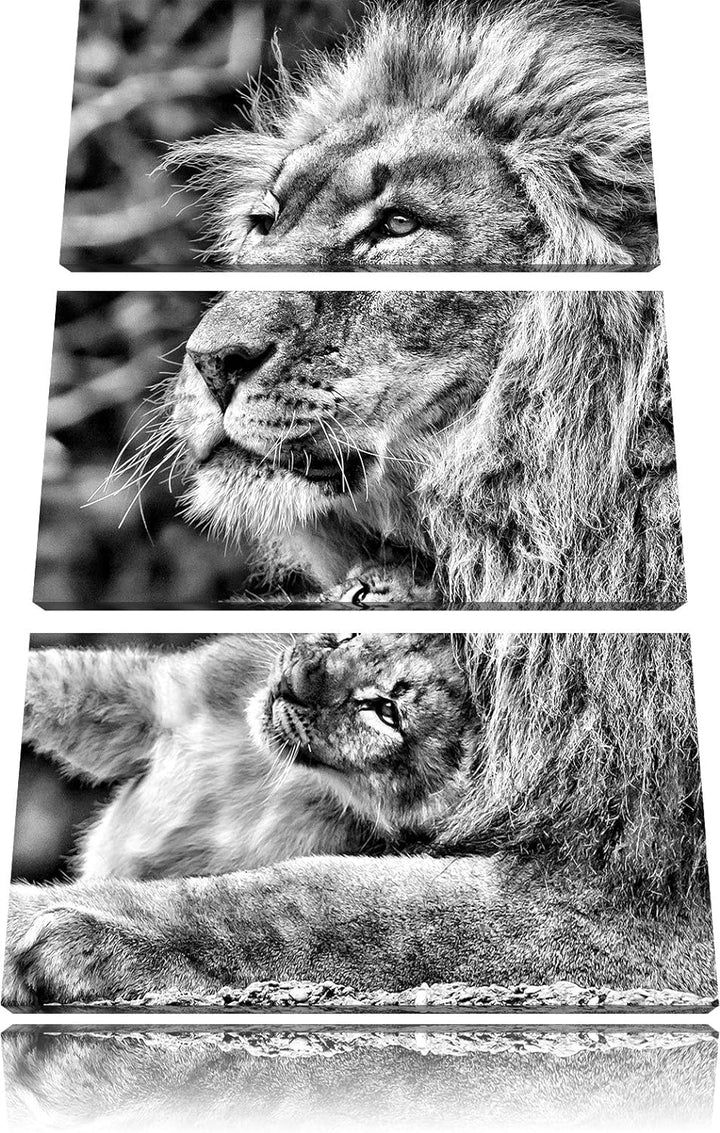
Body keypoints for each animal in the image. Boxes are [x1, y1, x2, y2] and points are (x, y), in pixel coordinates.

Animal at [4, 633, 715, 1008]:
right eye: (343, 635)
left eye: (384, 710)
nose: (296, 681)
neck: (264, 770)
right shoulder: (156, 699)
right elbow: (52, 681)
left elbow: (286, 916)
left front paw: (83, 945)